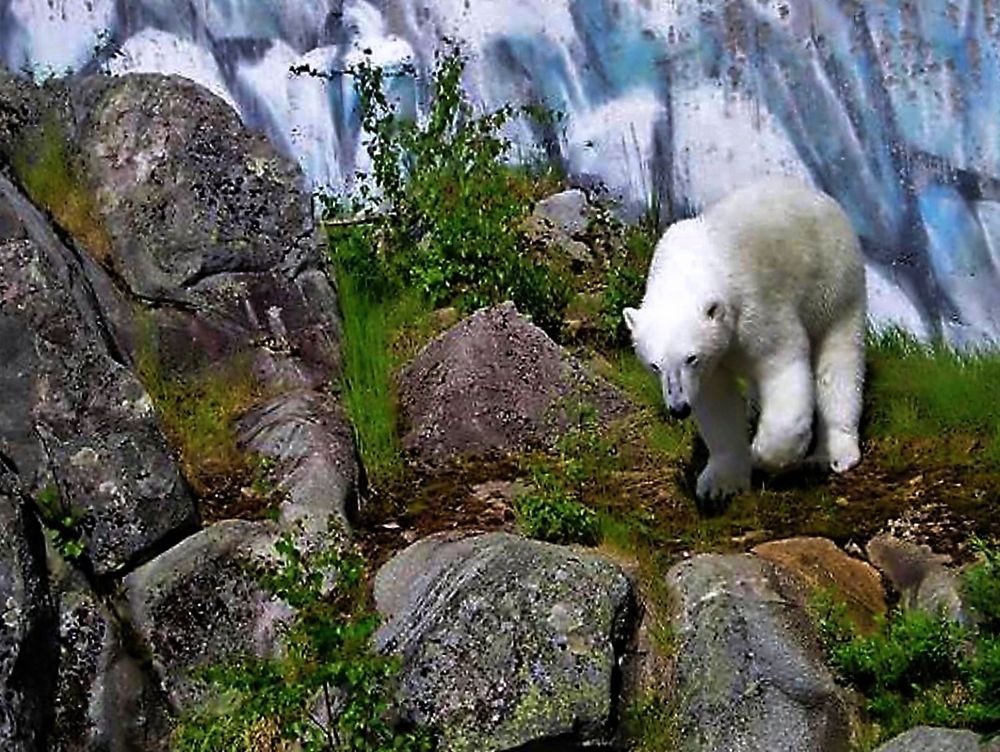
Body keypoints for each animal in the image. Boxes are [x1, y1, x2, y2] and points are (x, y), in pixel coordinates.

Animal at [623, 177, 866, 502]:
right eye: (654, 365)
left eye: (690, 357)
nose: (679, 408)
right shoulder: (711, 364)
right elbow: (716, 402)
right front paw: (719, 485)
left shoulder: (758, 308)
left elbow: (781, 366)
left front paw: (763, 455)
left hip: (834, 282)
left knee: (838, 363)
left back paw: (833, 454)